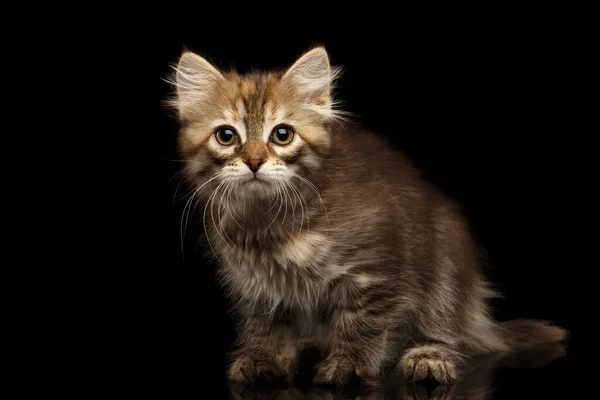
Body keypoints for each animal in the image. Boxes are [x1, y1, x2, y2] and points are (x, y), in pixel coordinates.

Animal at [165, 45, 568, 386]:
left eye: (282, 135)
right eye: (226, 136)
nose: (253, 162)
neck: (269, 221)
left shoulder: (374, 270)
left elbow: (362, 322)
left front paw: (350, 364)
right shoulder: (256, 285)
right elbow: (265, 325)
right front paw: (264, 358)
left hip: (446, 263)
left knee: (445, 326)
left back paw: (430, 357)